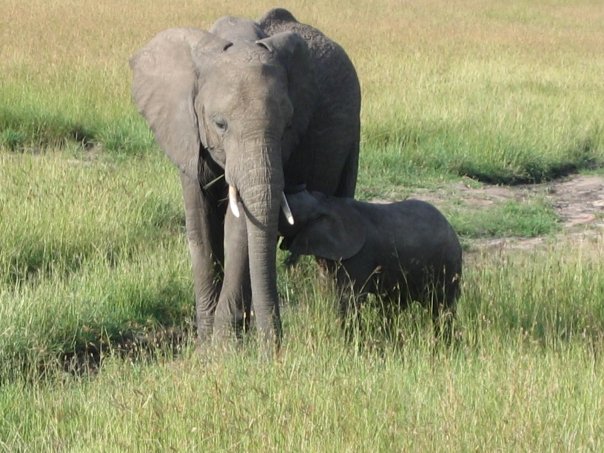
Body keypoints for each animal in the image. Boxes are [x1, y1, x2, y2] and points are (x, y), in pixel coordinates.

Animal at [129, 8, 358, 352]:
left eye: (288, 125)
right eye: (220, 124)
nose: (274, 352)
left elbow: (237, 228)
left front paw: (223, 349)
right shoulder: (185, 131)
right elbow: (200, 227)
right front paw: (207, 347)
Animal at [280, 191, 462, 336]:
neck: (327, 203)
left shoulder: (360, 257)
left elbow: (351, 298)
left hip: (447, 267)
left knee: (442, 307)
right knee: (394, 306)